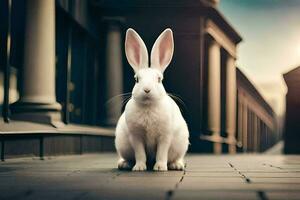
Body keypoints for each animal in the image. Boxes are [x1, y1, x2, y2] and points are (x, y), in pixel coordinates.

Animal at [115, 27, 190, 172]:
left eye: (159, 79)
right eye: (136, 79)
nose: (147, 89)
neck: (148, 106)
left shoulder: (165, 136)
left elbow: (161, 153)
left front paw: (160, 167)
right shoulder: (136, 137)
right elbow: (140, 154)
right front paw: (139, 167)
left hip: (181, 144)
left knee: (176, 157)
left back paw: (176, 165)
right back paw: (124, 164)